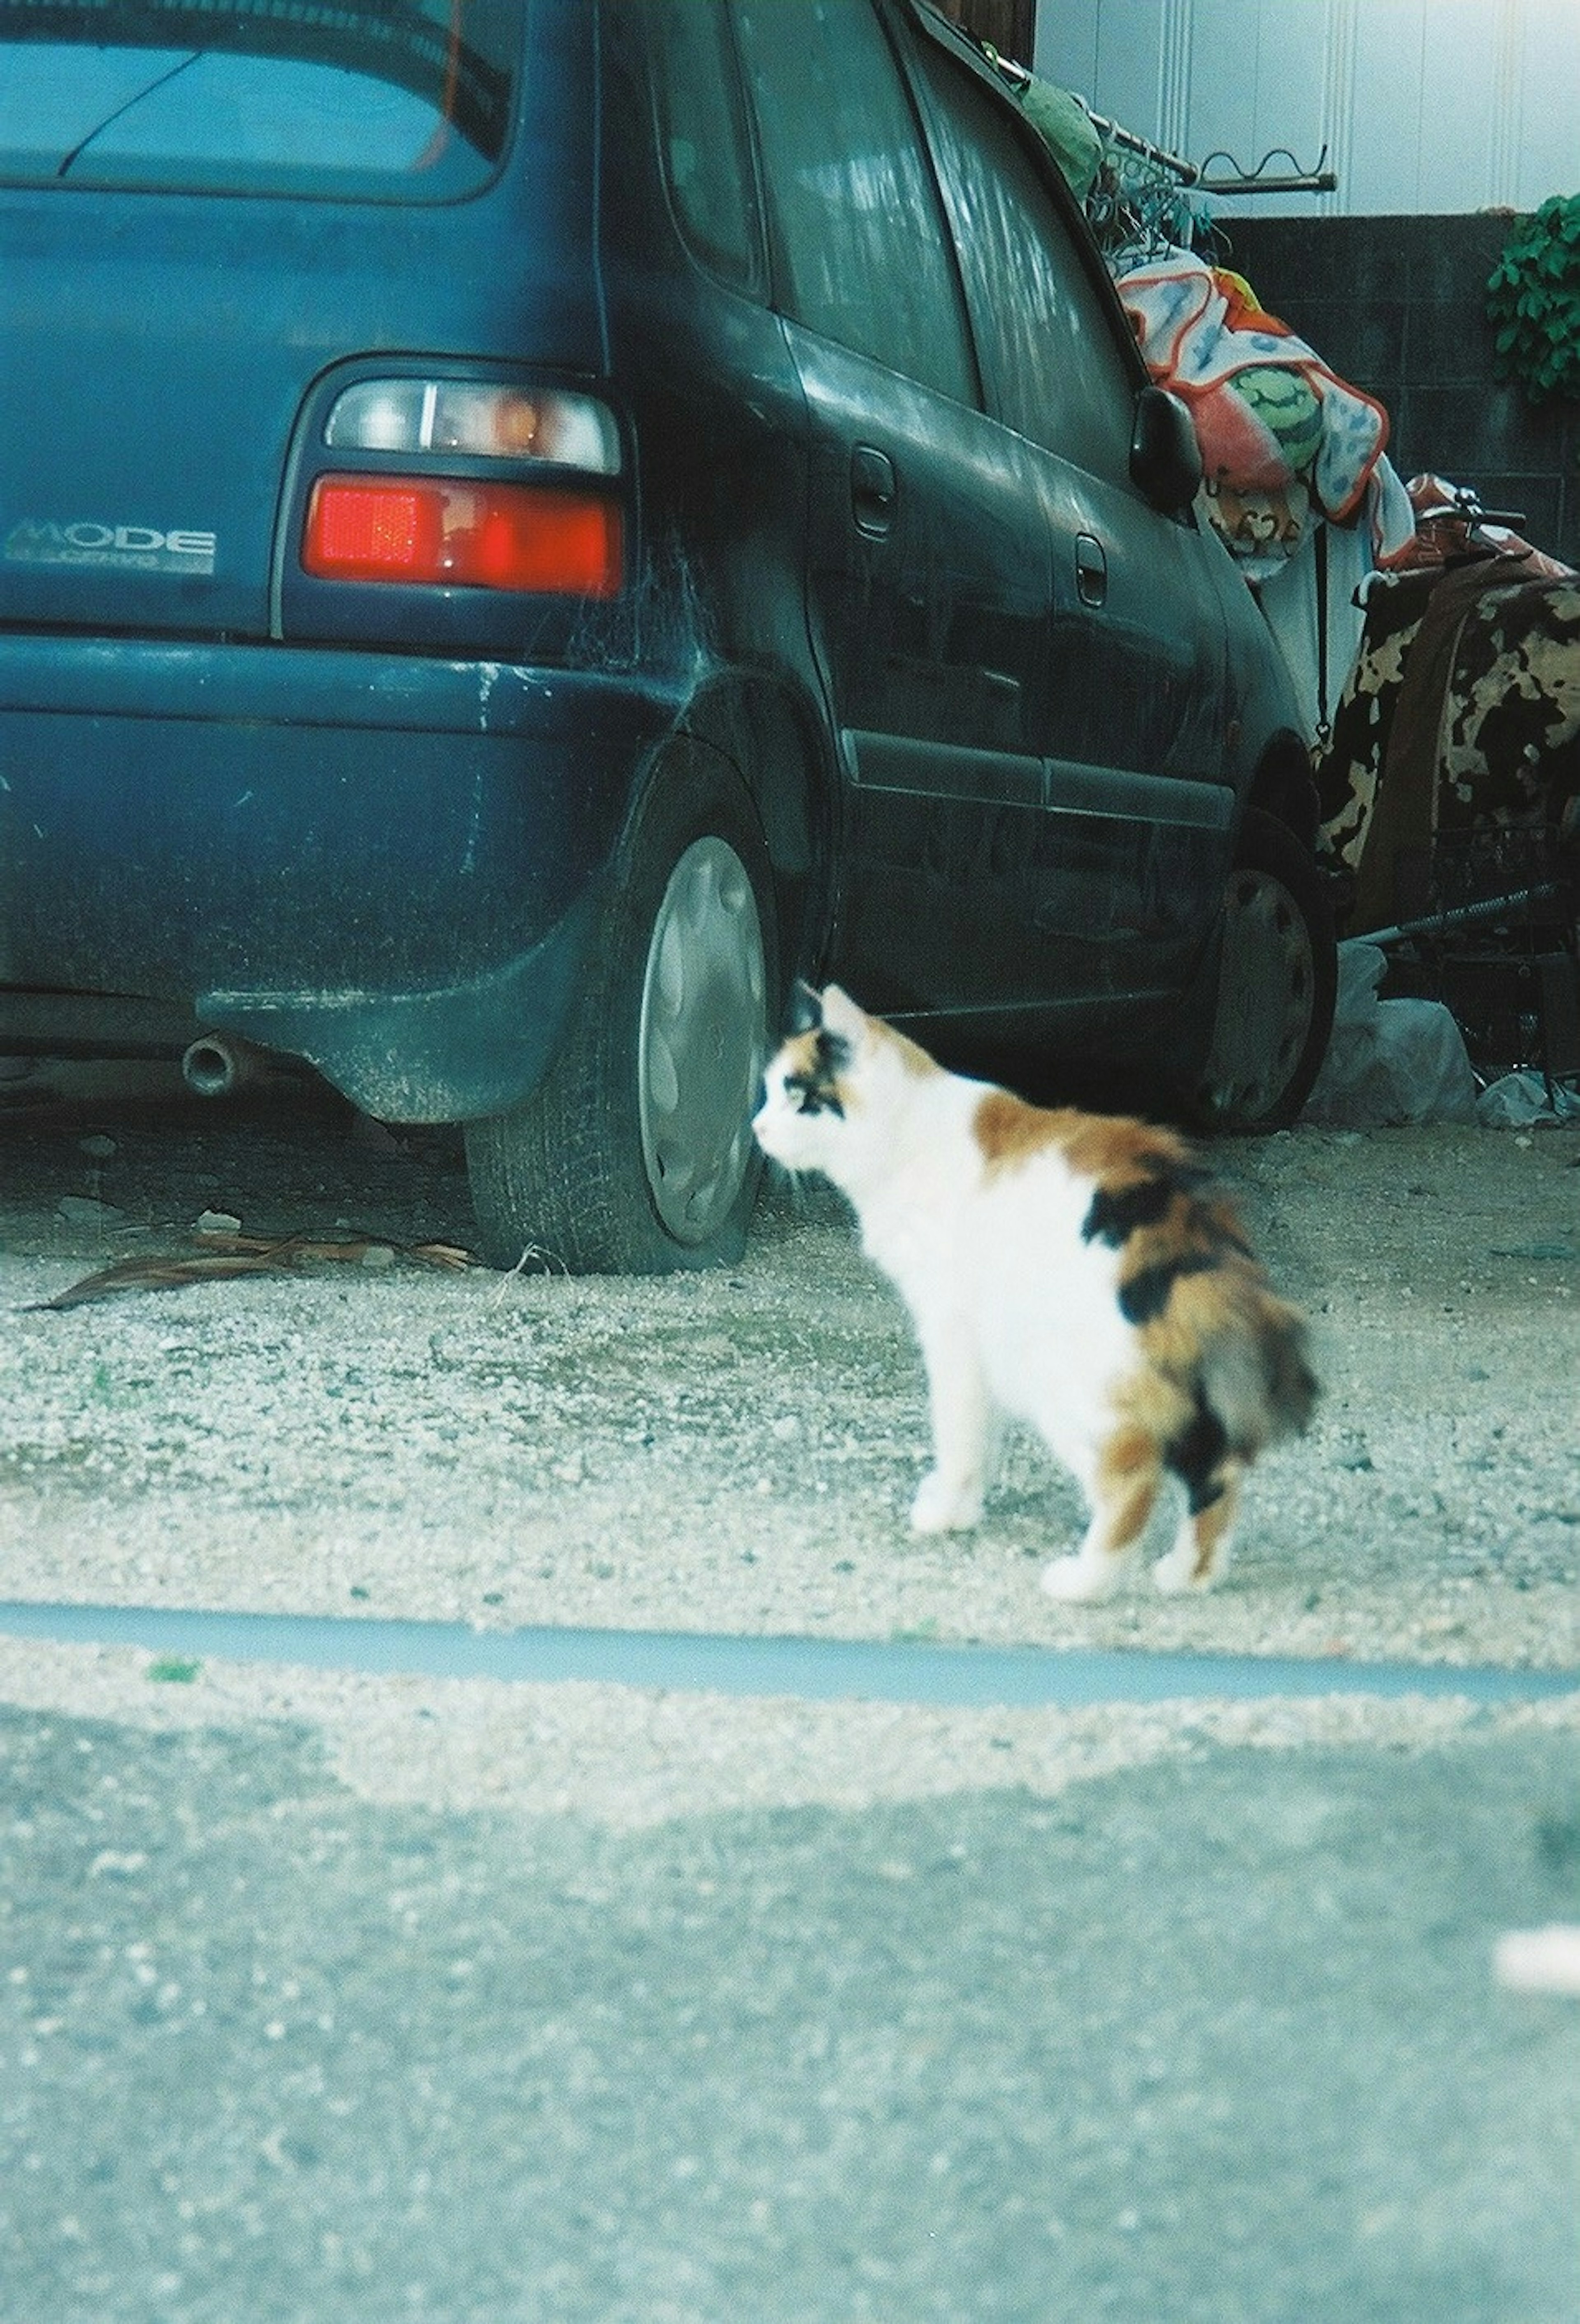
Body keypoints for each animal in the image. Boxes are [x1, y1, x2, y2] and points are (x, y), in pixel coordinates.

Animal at [748, 981, 1310, 1599]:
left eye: (798, 1096)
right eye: (769, 1093)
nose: (757, 1129)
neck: (909, 1137)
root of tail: (1182, 1219)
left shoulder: (951, 1333)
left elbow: (959, 1432)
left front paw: (945, 1512)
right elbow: (982, 1435)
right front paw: (964, 1508)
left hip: (1064, 1380)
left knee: (1135, 1477)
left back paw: (1084, 1584)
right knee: (1216, 1473)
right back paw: (1189, 1576)